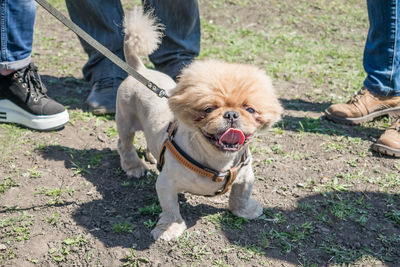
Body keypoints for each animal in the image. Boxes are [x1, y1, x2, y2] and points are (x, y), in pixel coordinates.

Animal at [117, 7, 282, 242]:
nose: (231, 114)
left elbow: (240, 195)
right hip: (125, 122)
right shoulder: (166, 184)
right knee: (125, 145)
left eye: (250, 109)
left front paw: (245, 211)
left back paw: (152, 156)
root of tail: (140, 69)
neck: (218, 161)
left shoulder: (246, 176)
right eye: (208, 109)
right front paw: (169, 229)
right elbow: (171, 209)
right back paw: (134, 167)